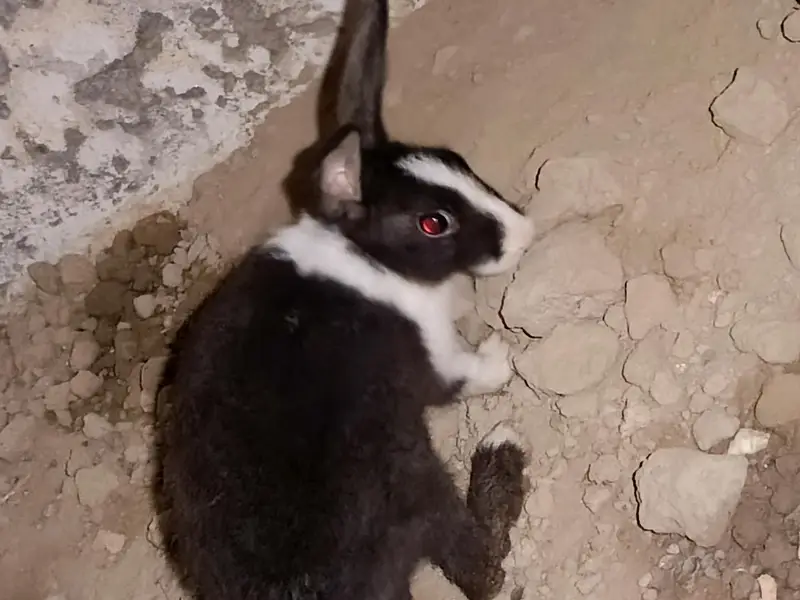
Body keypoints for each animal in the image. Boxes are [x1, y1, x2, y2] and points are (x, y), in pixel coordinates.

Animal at [153, 0, 536, 598]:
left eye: (453, 160)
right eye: (433, 222)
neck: (365, 255)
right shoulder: (432, 355)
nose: (524, 233)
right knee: (479, 568)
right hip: (407, 467)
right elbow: (464, 376)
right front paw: (500, 353)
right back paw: (502, 448)